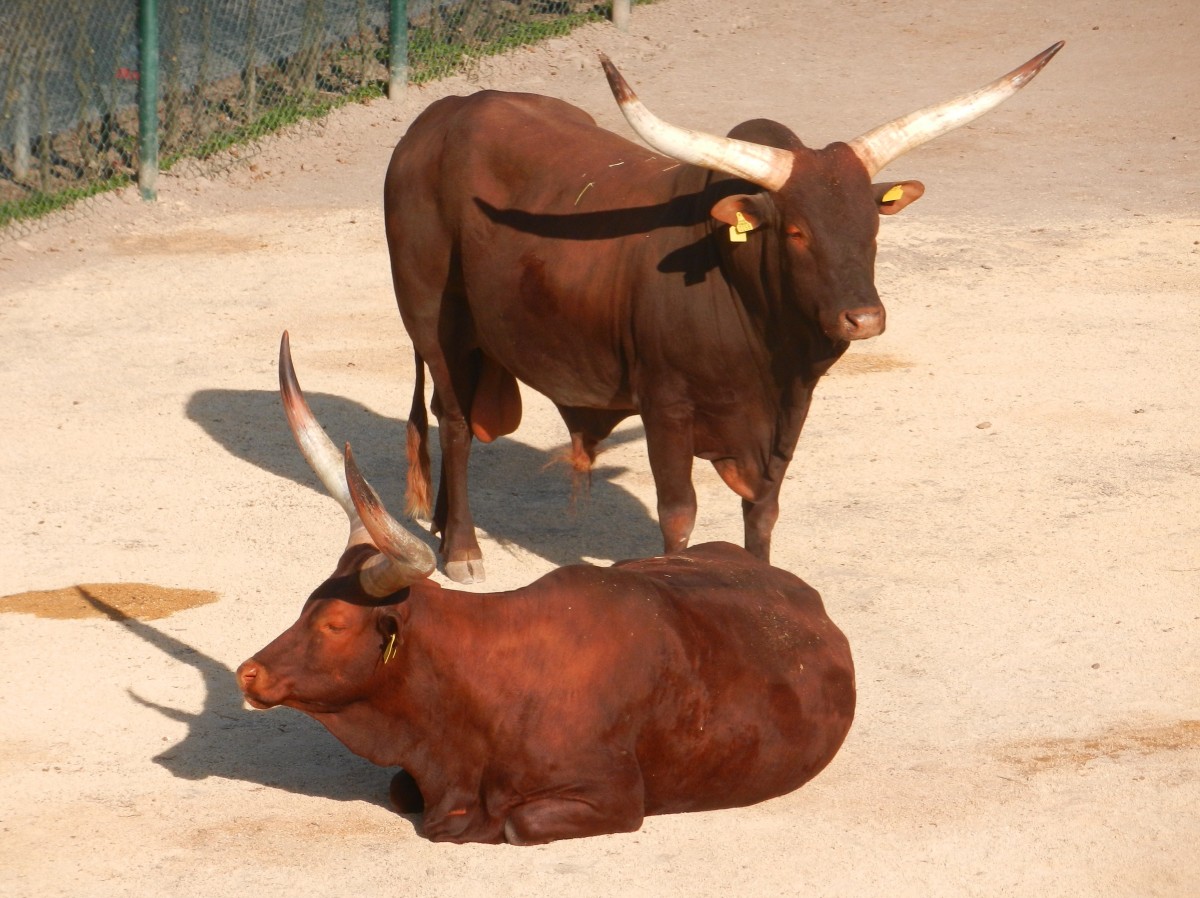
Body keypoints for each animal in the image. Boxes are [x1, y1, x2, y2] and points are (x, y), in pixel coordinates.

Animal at [234, 333, 854, 845]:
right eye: (306, 607)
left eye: (335, 623)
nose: (249, 672)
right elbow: (400, 788)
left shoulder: (613, 798)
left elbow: (515, 822)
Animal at [388, 43, 1065, 583]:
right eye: (796, 231)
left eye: (872, 226)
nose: (864, 319)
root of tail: (440, 116)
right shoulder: (666, 406)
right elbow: (679, 512)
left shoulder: (787, 411)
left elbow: (763, 508)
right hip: (433, 321)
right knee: (454, 422)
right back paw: (462, 550)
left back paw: (445, 529)